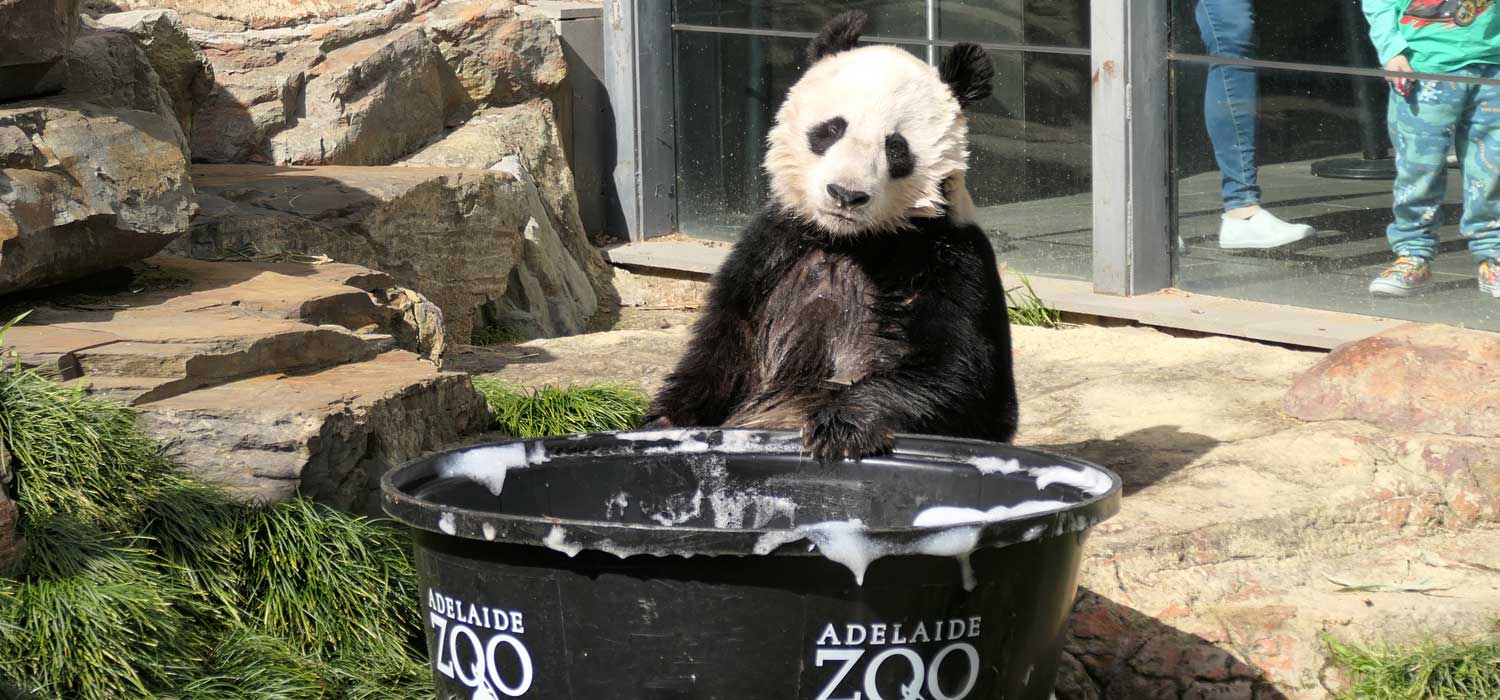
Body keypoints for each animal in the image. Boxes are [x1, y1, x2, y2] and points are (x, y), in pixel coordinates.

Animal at [645, 10, 1020, 461]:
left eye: (896, 147)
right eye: (831, 129)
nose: (845, 194)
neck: (850, 241)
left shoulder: (948, 257)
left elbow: (959, 378)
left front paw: (841, 425)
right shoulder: (770, 249)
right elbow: (724, 354)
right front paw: (662, 423)